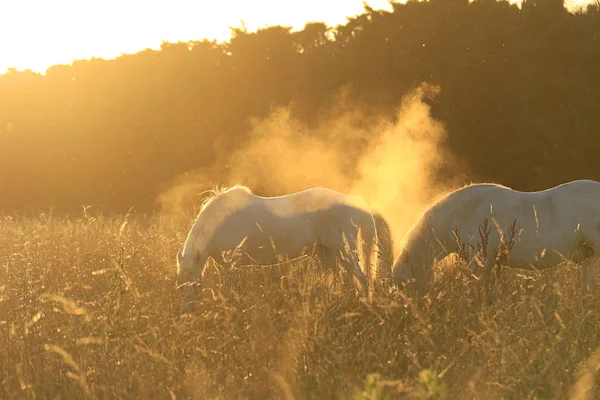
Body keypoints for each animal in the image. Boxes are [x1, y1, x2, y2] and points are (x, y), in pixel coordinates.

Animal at [177, 184, 394, 304]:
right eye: (179, 285)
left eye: (196, 285)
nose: (191, 310)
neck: (221, 222)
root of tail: (353, 201)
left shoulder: (230, 264)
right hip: (327, 252)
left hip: (345, 251)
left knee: (361, 279)